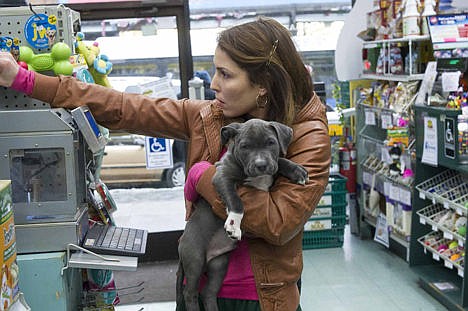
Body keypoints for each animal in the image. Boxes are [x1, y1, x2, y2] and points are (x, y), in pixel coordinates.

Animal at [176, 118, 308, 310]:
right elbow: (236, 200)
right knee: (190, 292)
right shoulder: (222, 177)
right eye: (245, 146)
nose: (261, 165)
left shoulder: (272, 165)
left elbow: (279, 160)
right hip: (195, 258)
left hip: (219, 264)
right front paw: (233, 224)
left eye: (271, 142)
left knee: (208, 292)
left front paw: (296, 170)